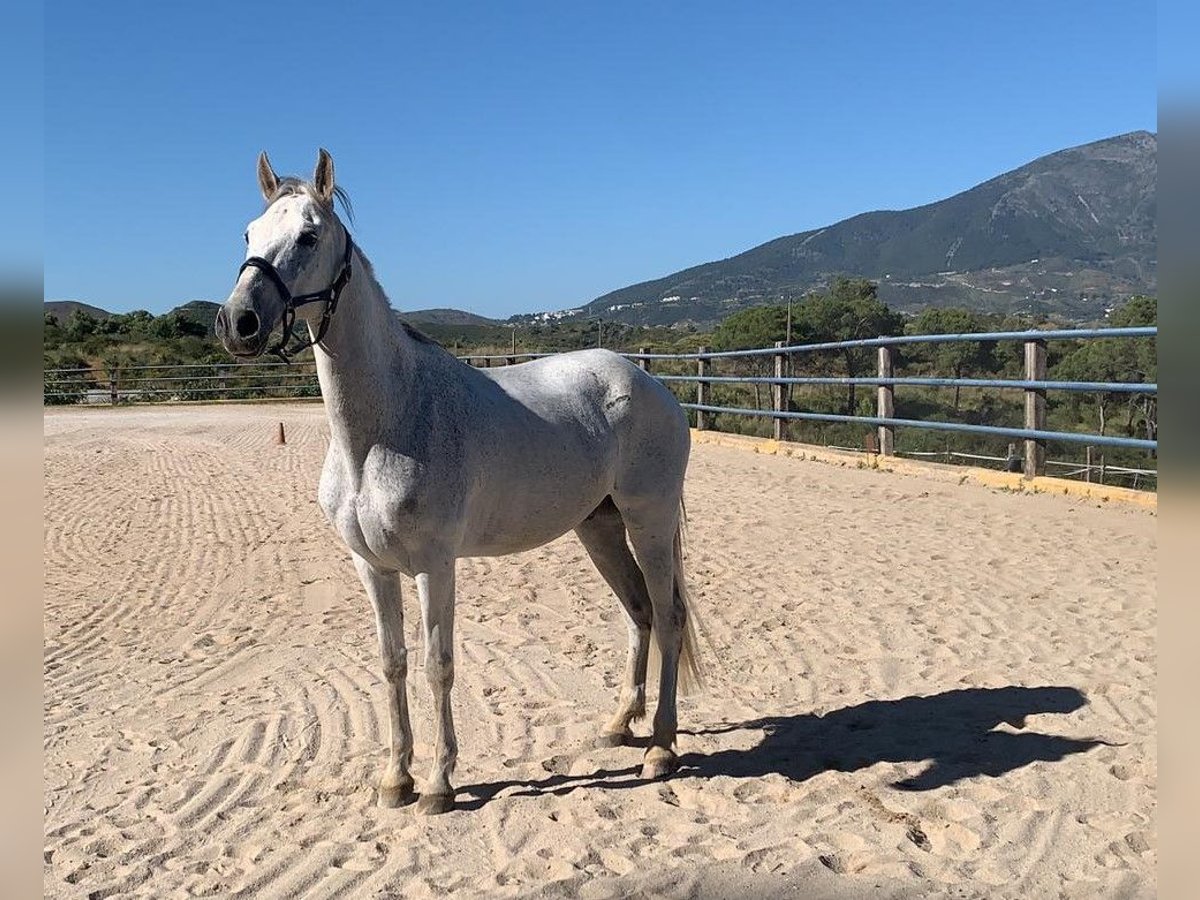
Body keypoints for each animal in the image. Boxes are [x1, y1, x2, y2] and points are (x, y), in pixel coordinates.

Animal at [217, 150, 700, 816]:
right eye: (247, 234)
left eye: (309, 235)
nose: (238, 323)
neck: (385, 428)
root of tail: (650, 383)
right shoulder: (372, 567)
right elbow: (392, 663)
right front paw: (396, 780)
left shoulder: (434, 564)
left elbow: (437, 665)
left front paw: (440, 785)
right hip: (598, 528)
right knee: (638, 612)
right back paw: (618, 725)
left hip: (647, 521)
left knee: (668, 614)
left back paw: (661, 748)